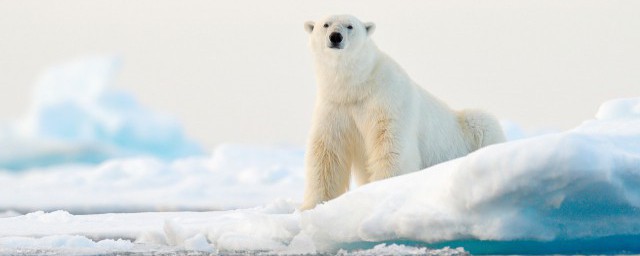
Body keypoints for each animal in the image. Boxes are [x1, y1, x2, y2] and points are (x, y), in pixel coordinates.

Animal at [300, 14, 504, 210]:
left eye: (350, 26)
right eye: (326, 24)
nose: (335, 37)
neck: (357, 86)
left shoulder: (387, 98)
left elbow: (390, 143)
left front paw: (383, 188)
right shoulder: (335, 106)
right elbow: (327, 152)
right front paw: (311, 205)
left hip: (470, 129)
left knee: (483, 123)